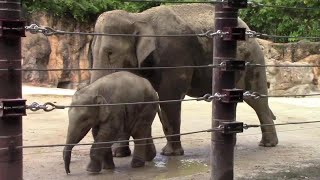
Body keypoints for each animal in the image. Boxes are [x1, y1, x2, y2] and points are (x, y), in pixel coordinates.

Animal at [89, 3, 278, 155]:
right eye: (91, 53)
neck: (137, 17)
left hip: (252, 59)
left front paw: (170, 154)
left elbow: (169, 98)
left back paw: (268, 145)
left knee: (255, 98)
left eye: (110, 53)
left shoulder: (173, 55)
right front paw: (119, 155)